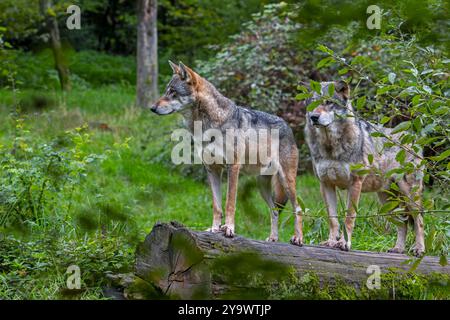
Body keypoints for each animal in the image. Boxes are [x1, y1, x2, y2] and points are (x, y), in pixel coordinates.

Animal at [304, 81, 424, 256]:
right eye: (312, 103)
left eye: (328, 102)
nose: (314, 117)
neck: (330, 147)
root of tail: (414, 139)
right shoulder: (325, 184)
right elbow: (333, 219)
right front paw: (331, 242)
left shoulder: (355, 183)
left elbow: (349, 218)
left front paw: (344, 243)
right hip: (387, 201)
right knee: (403, 224)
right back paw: (398, 249)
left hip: (408, 194)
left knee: (419, 220)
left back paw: (419, 249)